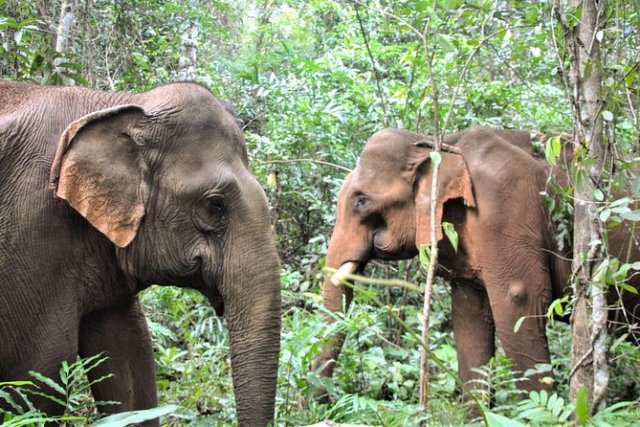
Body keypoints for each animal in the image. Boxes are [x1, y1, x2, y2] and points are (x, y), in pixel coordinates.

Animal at [312, 126, 640, 398]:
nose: (322, 400)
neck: (443, 144)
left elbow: (519, 303)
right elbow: (469, 320)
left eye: (361, 201)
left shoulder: (504, 211)